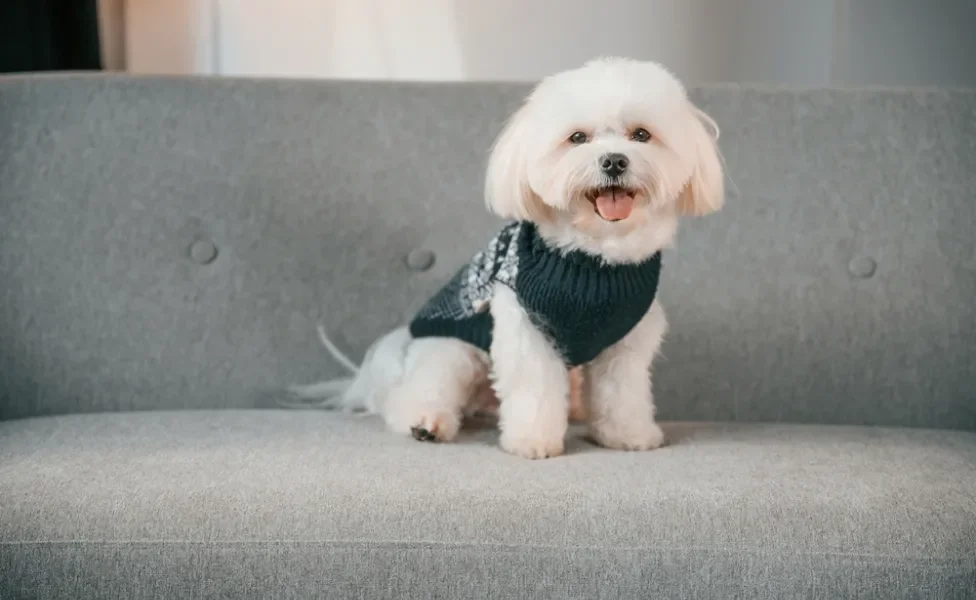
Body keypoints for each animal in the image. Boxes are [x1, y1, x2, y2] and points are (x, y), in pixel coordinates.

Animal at [290, 57, 724, 460]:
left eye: (641, 135)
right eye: (577, 138)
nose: (614, 160)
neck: (594, 258)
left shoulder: (628, 340)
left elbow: (623, 391)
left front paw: (628, 434)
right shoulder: (526, 326)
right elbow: (535, 386)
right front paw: (533, 441)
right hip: (451, 352)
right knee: (416, 394)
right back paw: (426, 422)